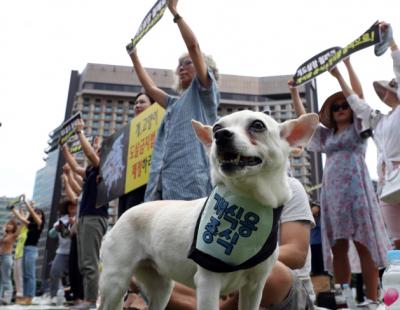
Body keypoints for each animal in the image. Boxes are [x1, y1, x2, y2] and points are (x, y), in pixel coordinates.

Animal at [98, 111, 318, 310]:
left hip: (162, 288)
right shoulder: (207, 285)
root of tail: (122, 216)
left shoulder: (255, 287)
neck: (247, 203)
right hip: (115, 282)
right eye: (216, 128)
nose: (220, 135)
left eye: (258, 125)